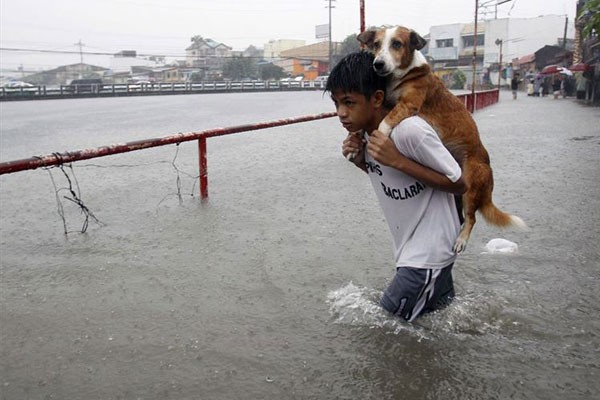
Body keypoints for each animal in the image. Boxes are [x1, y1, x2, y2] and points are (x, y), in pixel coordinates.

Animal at [358, 25, 524, 252]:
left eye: (397, 44)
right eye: (376, 44)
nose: (378, 64)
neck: (404, 74)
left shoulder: (408, 104)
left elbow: (385, 122)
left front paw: (379, 137)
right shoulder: (390, 101)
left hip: (470, 186)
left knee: (472, 218)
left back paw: (461, 240)